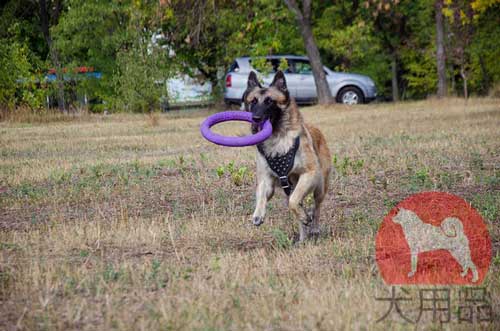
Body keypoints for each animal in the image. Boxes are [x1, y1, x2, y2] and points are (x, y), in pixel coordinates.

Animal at [243, 70, 330, 241]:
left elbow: (293, 201)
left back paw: (314, 227)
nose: (256, 119)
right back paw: (302, 238)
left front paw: (306, 218)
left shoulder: (309, 173)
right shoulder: (266, 180)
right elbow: (261, 194)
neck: (277, 140)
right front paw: (258, 214)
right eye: (253, 101)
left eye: (269, 101)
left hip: (320, 187)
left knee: (316, 206)